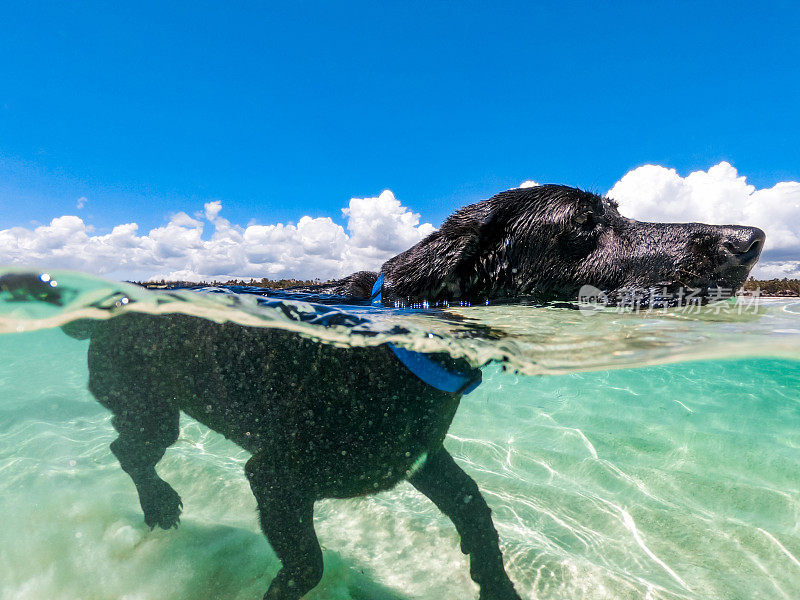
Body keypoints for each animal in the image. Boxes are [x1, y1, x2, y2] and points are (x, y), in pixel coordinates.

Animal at [9, 184, 764, 600]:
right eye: (584, 227)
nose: (753, 235)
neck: (399, 348)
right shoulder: (274, 477)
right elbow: (306, 566)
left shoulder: (424, 460)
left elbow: (480, 519)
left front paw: (498, 586)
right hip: (148, 408)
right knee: (128, 451)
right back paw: (160, 504)